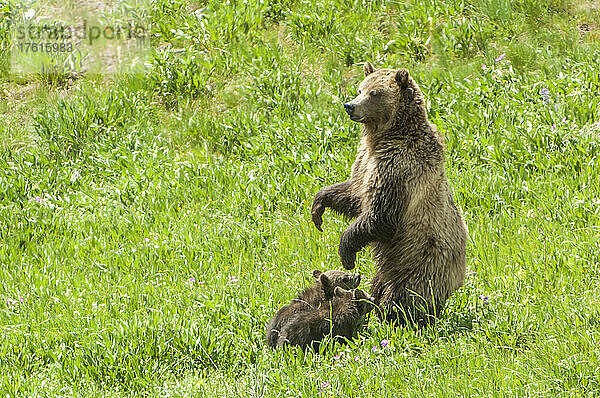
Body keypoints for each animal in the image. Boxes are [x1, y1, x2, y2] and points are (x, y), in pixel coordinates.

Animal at [312, 60, 472, 324]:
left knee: (405, 292)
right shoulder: (365, 161)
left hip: (421, 259)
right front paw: (318, 205)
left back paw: (396, 316)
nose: (349, 106)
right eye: (360, 89)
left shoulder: (398, 168)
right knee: (381, 281)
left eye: (374, 93)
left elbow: (381, 215)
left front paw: (346, 252)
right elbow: (355, 194)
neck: (386, 136)